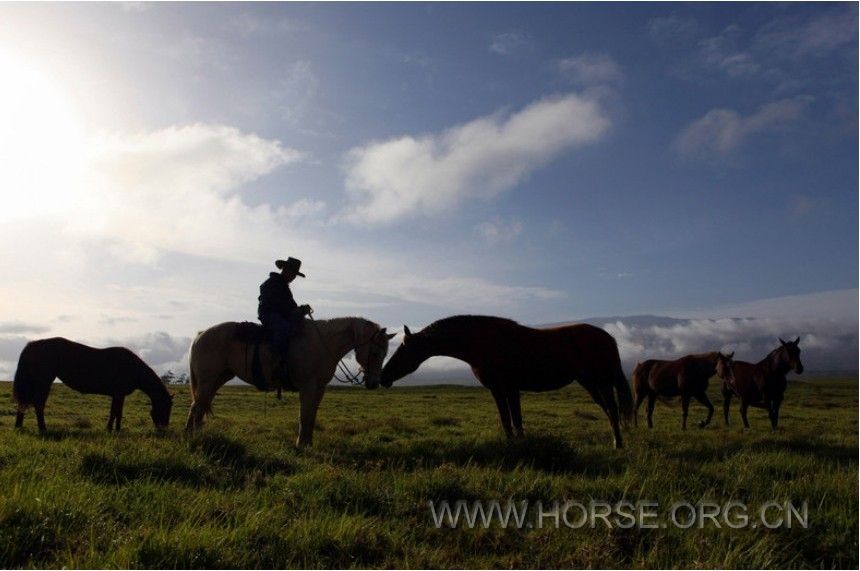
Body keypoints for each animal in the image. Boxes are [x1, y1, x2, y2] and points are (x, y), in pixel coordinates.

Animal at [12, 338, 174, 432]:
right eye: (166, 407)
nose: (163, 429)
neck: (133, 368)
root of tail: (32, 345)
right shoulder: (118, 394)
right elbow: (115, 413)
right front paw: (112, 430)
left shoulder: (118, 395)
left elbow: (117, 412)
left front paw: (115, 429)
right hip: (43, 382)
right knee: (38, 404)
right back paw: (42, 428)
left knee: (25, 403)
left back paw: (19, 426)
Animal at [186, 318, 394, 446]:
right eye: (375, 353)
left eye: (385, 353)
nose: (374, 383)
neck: (322, 343)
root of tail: (200, 334)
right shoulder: (308, 387)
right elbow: (304, 415)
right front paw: (301, 444)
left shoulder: (319, 388)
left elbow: (312, 416)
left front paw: (309, 443)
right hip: (208, 380)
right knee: (198, 406)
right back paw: (194, 437)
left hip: (218, 378)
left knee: (198, 405)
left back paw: (192, 433)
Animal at [380, 316, 636, 450]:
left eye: (402, 351)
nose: (383, 377)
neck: (483, 343)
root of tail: (609, 337)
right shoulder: (499, 389)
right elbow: (508, 418)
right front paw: (513, 443)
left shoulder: (509, 387)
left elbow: (514, 418)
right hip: (589, 382)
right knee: (608, 409)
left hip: (601, 380)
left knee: (612, 408)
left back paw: (618, 444)